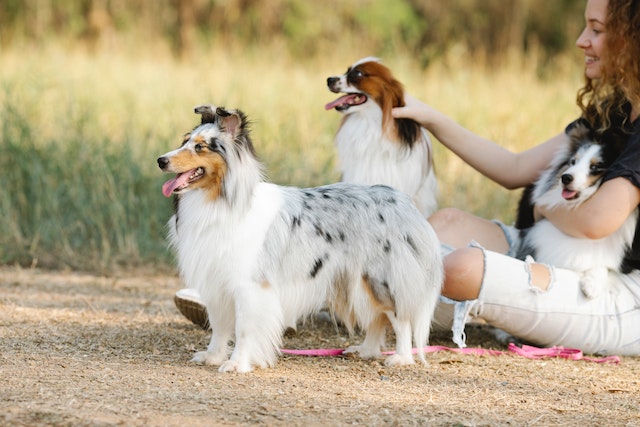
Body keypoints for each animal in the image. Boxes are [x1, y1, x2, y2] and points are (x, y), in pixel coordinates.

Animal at [158, 105, 442, 372]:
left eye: (200, 147)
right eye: (184, 141)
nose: (160, 160)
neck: (219, 201)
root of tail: (403, 202)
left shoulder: (249, 286)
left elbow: (243, 329)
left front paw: (237, 363)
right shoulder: (216, 283)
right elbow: (219, 328)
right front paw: (213, 356)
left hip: (380, 279)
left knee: (399, 317)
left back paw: (402, 357)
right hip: (356, 283)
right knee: (377, 318)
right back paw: (366, 350)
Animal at [516, 122, 636, 300]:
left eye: (596, 166)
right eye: (573, 162)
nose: (565, 178)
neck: (577, 205)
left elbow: (602, 264)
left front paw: (592, 285)